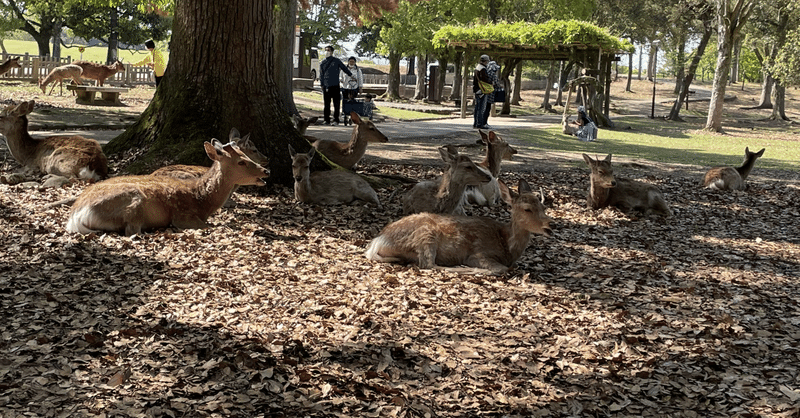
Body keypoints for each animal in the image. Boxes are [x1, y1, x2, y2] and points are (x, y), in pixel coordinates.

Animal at [64, 140, 268, 235]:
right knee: (131, 231)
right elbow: (207, 226)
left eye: (246, 155)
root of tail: (76, 215)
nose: (266, 171)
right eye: (241, 161)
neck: (201, 200)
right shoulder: (183, 215)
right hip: (132, 202)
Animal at [368, 178, 552, 276]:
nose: (549, 226)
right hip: (425, 235)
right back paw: (463, 267)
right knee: (428, 264)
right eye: (527, 209)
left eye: (543, 206)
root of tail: (378, 241)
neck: (507, 246)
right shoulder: (480, 253)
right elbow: (501, 268)